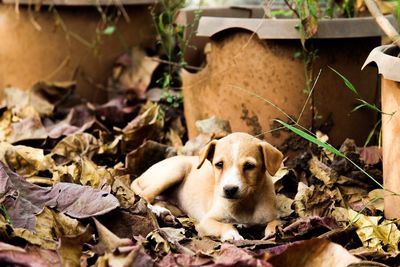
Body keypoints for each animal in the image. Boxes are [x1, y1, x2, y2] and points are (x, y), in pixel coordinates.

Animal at [130, 133, 282, 242]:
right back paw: (158, 212)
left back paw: (164, 213)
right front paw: (231, 233)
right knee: (145, 196)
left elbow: (275, 223)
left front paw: (273, 232)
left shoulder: (272, 216)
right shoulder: (206, 221)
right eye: (219, 164)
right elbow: (224, 225)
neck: (245, 204)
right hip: (175, 171)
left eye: (249, 166)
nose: (229, 189)